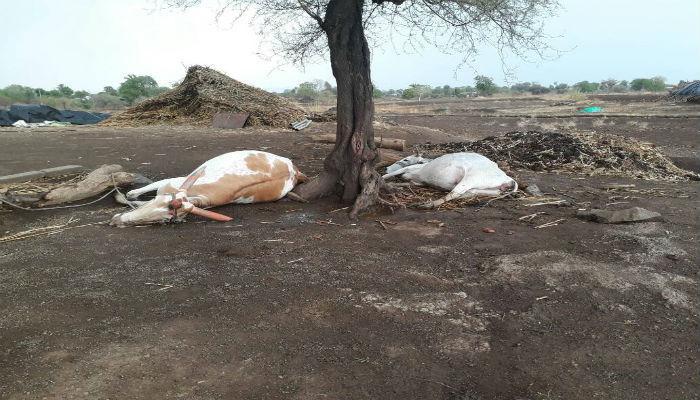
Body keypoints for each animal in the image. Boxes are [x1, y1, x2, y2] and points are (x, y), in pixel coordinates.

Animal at [110, 151, 306, 227]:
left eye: (168, 220)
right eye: (159, 201)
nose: (116, 220)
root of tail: (295, 171)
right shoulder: (173, 182)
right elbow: (135, 195)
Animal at [380, 152, 516, 209]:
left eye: (406, 159)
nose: (386, 168)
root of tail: (508, 179)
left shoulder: (411, 168)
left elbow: (393, 174)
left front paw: (382, 178)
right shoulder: (419, 182)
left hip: (470, 178)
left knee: (454, 193)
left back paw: (428, 204)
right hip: (487, 190)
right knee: (466, 194)